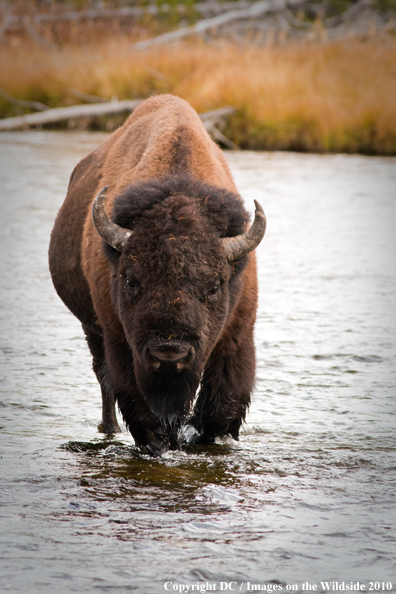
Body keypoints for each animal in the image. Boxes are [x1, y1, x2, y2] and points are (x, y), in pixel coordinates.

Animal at [49, 93, 266, 454]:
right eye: (131, 280)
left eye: (214, 286)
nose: (169, 353)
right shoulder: (120, 339)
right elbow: (134, 398)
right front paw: (158, 443)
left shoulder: (238, 335)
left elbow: (223, 403)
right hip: (91, 328)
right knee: (103, 377)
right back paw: (110, 429)